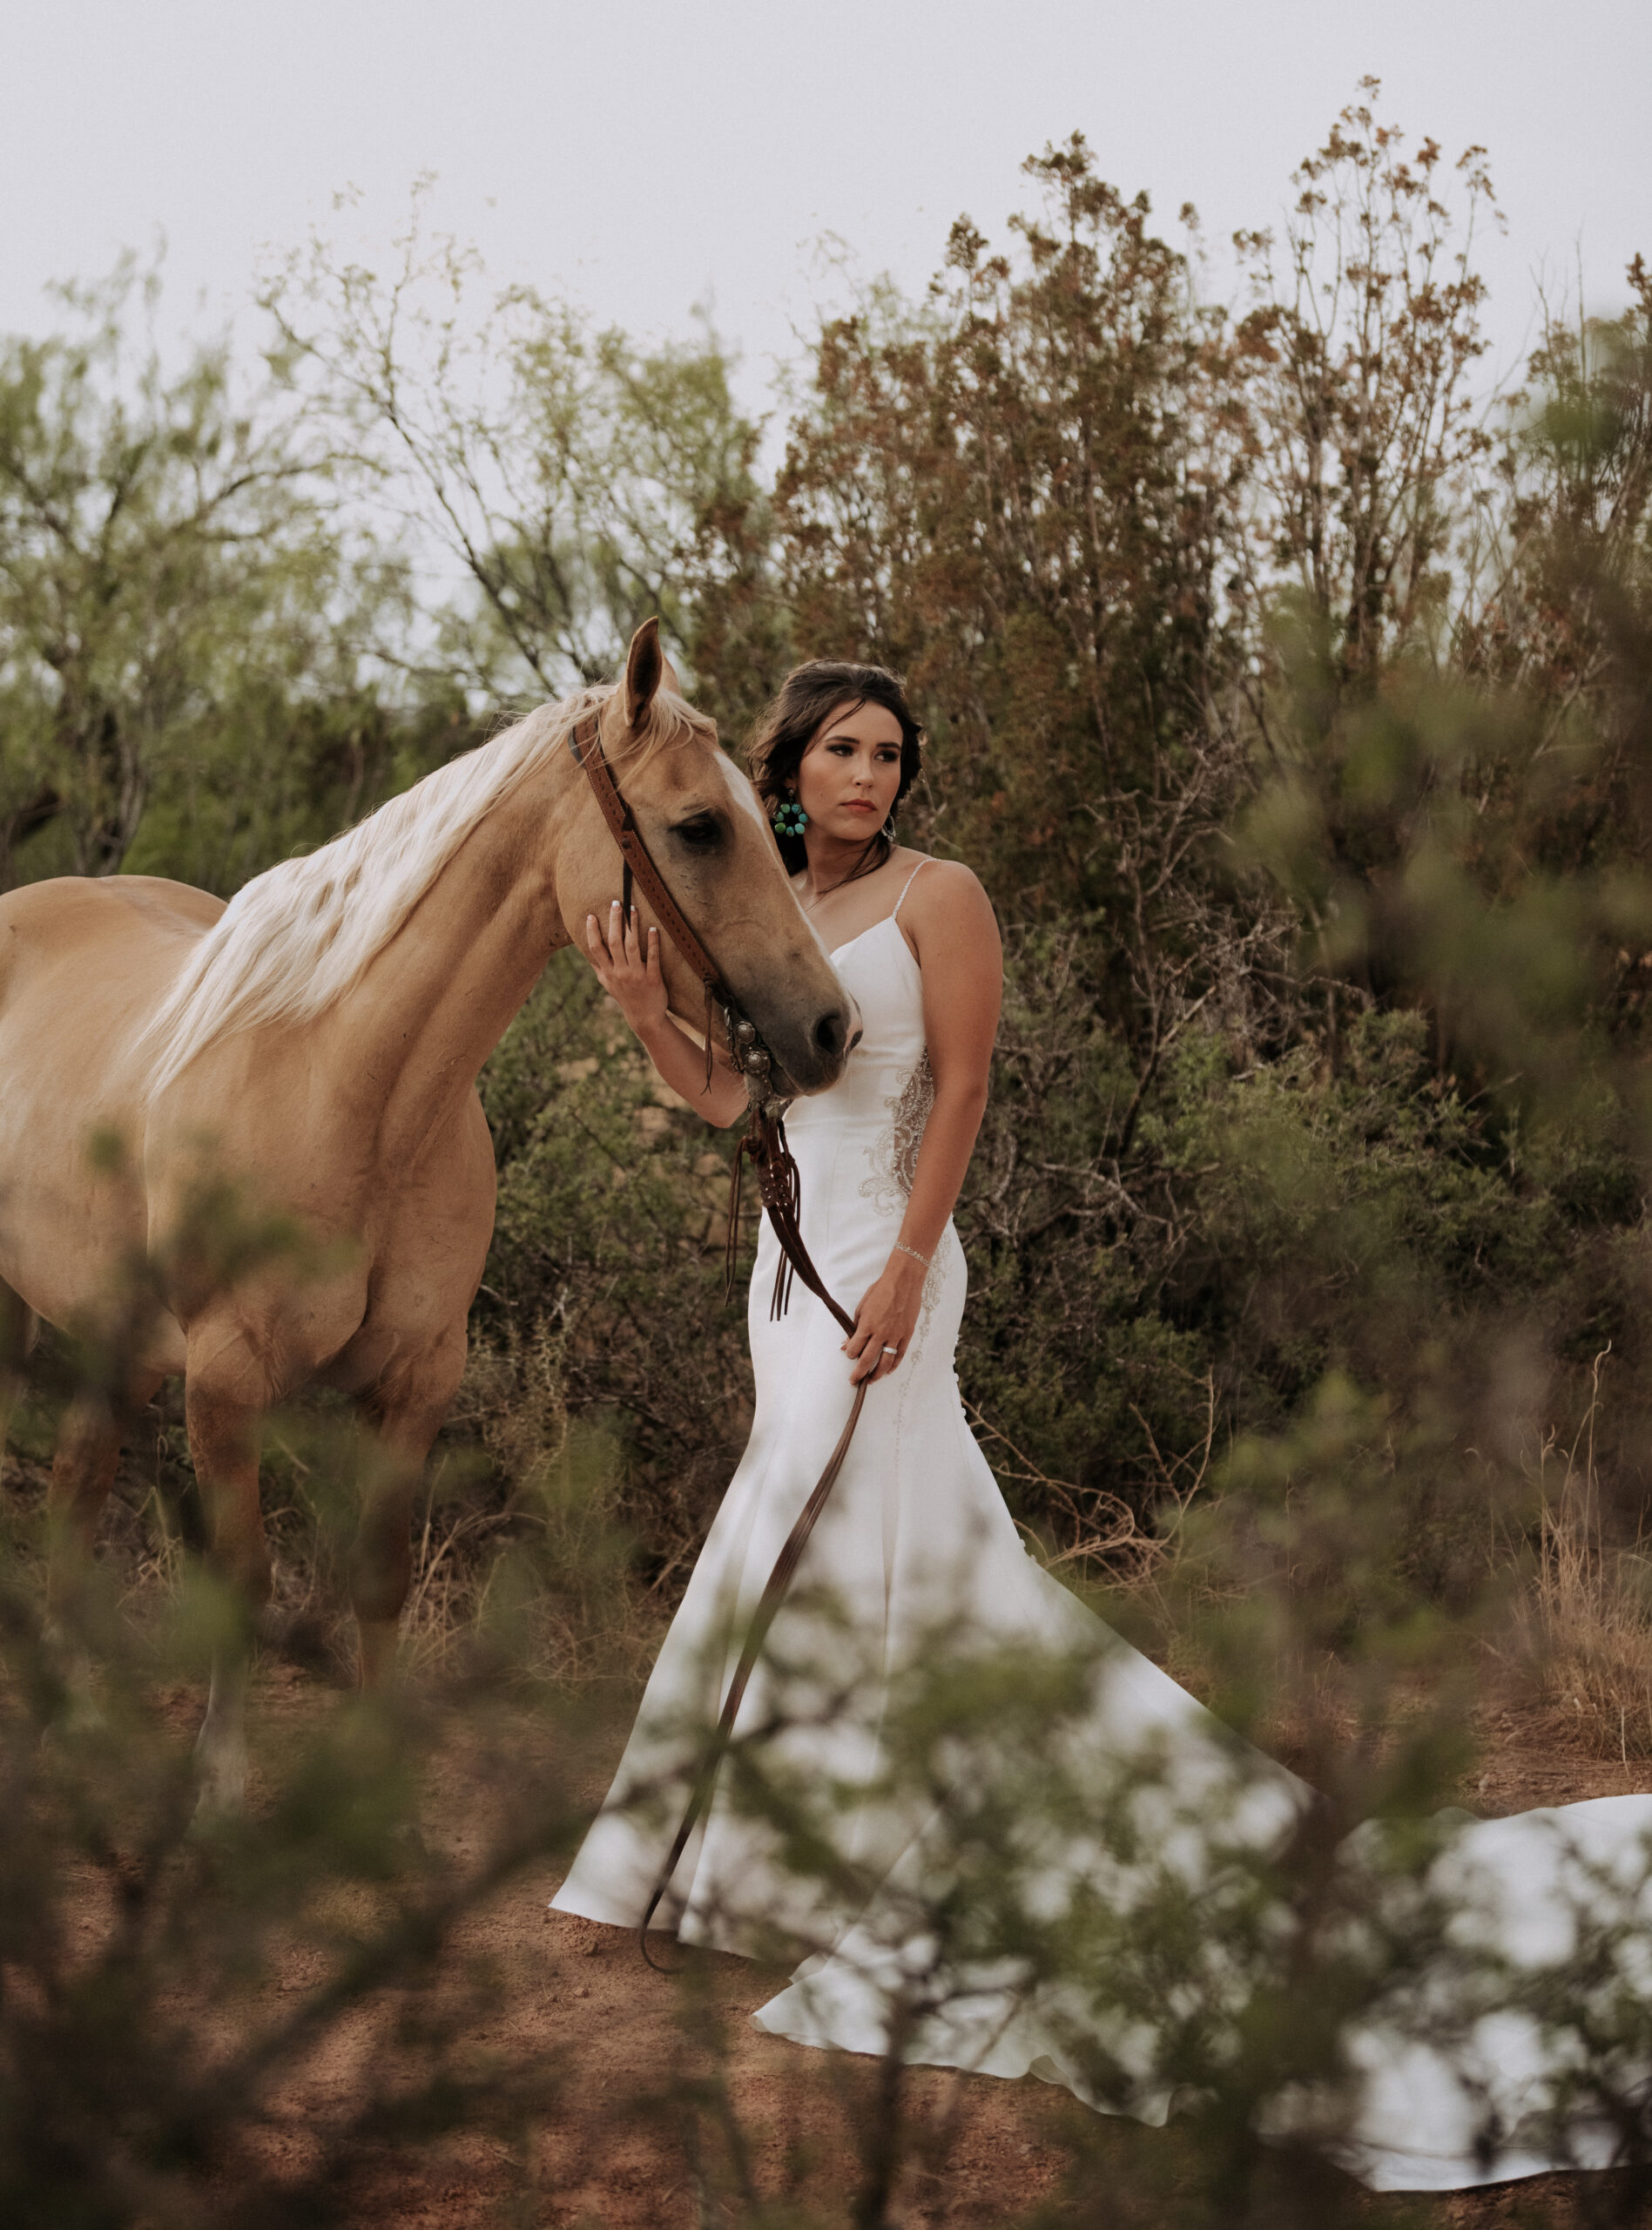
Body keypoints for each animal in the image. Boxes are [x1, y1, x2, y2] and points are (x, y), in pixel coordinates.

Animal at [0, 619, 851, 1801]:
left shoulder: (417, 1376)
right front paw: (221, 1786)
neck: (348, 1093)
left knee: (75, 1487)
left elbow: (379, 1573)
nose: (826, 1028)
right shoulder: (224, 1382)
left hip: (115, 1340)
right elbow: (245, 1581)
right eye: (699, 826)